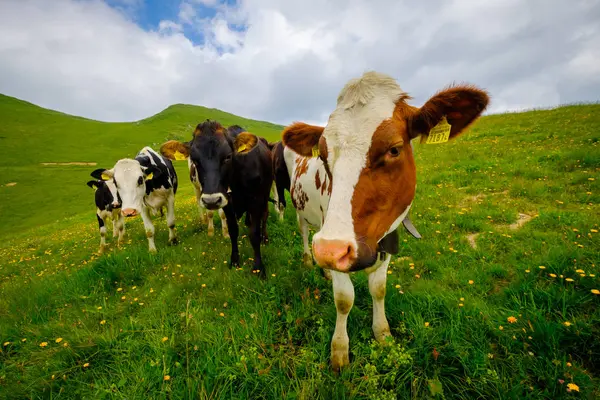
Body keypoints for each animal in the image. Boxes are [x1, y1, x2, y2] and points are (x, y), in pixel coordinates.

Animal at [159, 119, 272, 278]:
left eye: (228, 156)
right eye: (195, 160)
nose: (211, 201)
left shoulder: (256, 199)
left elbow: (254, 234)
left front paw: (258, 267)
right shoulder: (227, 203)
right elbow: (233, 231)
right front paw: (235, 261)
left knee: (265, 215)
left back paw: (265, 238)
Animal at [282, 70, 488, 370]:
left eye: (394, 149)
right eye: (323, 155)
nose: (329, 251)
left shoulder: (387, 235)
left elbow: (378, 289)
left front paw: (383, 334)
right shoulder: (335, 245)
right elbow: (344, 299)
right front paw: (339, 351)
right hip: (301, 210)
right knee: (304, 232)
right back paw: (310, 259)